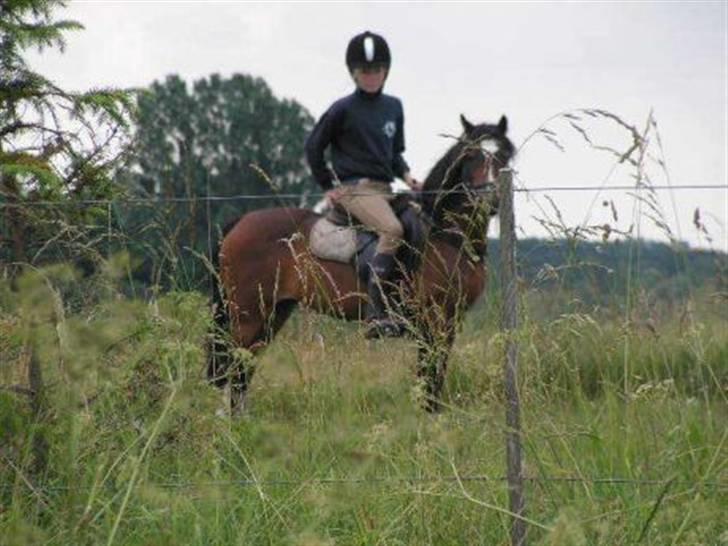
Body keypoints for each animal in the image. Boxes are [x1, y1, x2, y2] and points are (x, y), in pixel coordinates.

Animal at [208, 116, 516, 412]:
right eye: (470, 155)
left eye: (503, 155)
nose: (490, 199)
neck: (445, 235)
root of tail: (239, 223)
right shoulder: (436, 317)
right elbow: (430, 373)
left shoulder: (449, 320)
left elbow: (432, 374)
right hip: (248, 314)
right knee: (233, 365)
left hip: (274, 311)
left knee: (243, 366)